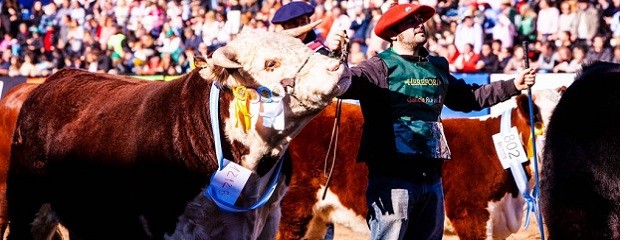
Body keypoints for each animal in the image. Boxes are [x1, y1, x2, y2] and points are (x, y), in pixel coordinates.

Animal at [4, 24, 352, 240]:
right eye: (270, 63)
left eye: (301, 46)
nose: (337, 66)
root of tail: (52, 80)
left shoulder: (270, 221)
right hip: (25, 205)